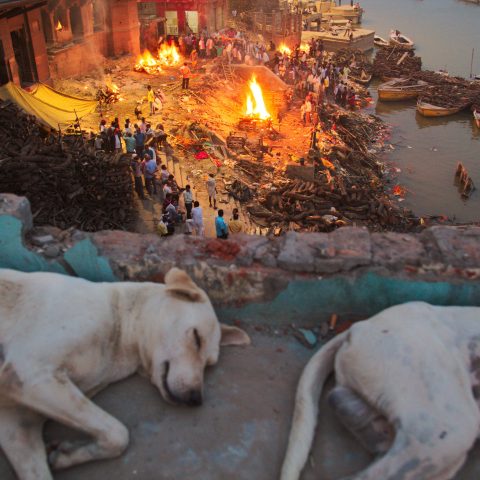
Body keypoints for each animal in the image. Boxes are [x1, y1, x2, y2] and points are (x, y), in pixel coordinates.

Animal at [0, 268, 249, 480]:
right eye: (197, 338)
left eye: (209, 364)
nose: (195, 399)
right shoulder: (31, 373)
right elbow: (118, 431)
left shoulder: (18, 427)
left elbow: (114, 438)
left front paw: (68, 454)